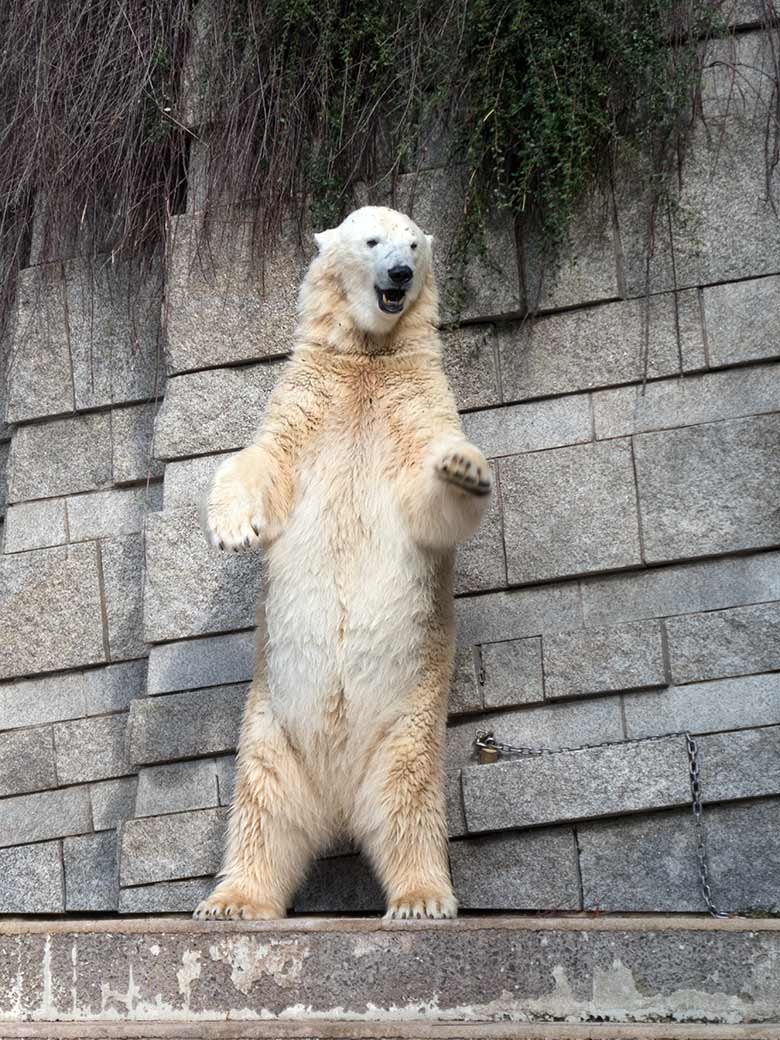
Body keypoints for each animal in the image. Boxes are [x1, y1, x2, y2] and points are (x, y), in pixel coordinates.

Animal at [193, 206, 490, 923]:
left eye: (414, 244)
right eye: (373, 240)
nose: (401, 274)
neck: (368, 361)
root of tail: (336, 802)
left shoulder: (415, 404)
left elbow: (429, 501)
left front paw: (463, 468)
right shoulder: (306, 405)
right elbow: (260, 464)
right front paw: (233, 528)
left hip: (407, 728)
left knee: (409, 808)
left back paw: (421, 897)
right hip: (270, 730)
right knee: (262, 812)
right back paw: (234, 899)